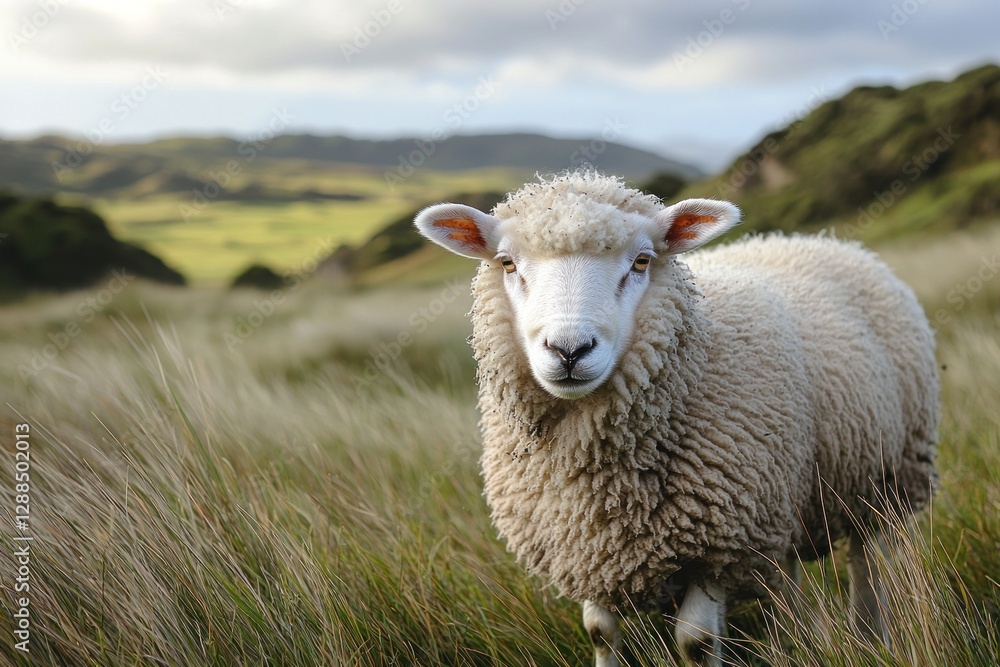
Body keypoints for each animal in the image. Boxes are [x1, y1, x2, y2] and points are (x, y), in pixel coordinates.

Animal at [413, 171, 938, 666]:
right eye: (506, 263)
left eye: (642, 261)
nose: (569, 350)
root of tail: (820, 240)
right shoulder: (584, 549)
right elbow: (600, 633)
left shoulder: (717, 543)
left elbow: (696, 642)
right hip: (783, 504)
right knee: (784, 584)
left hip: (885, 481)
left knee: (867, 565)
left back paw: (871, 637)